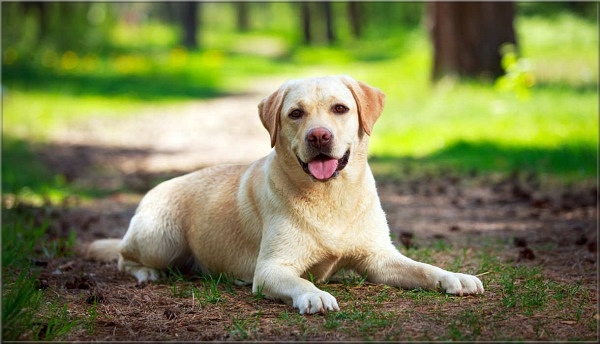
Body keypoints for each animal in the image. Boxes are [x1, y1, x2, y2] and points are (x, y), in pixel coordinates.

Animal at [86, 75, 486, 314]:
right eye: (296, 114)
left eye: (340, 108)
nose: (319, 136)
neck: (330, 196)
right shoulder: (271, 269)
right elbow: (300, 279)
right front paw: (314, 294)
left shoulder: (380, 259)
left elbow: (423, 267)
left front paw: (455, 276)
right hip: (160, 239)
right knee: (124, 257)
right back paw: (146, 273)